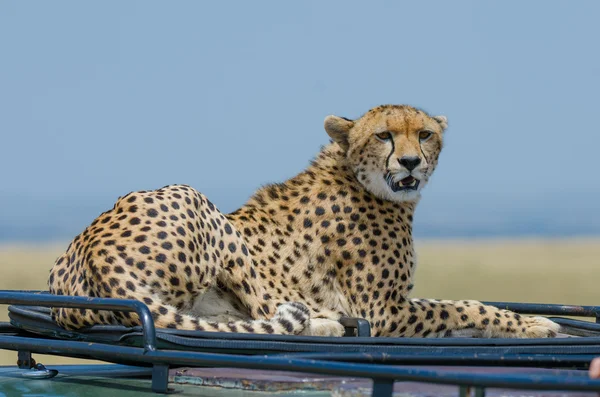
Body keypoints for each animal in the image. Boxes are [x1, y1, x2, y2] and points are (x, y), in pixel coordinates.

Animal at [49, 105, 560, 338]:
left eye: (426, 134)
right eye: (384, 135)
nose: (411, 162)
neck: (355, 172)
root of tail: (92, 252)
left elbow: (456, 308)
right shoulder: (383, 311)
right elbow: (460, 305)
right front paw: (533, 324)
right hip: (196, 201)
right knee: (264, 306)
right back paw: (323, 324)